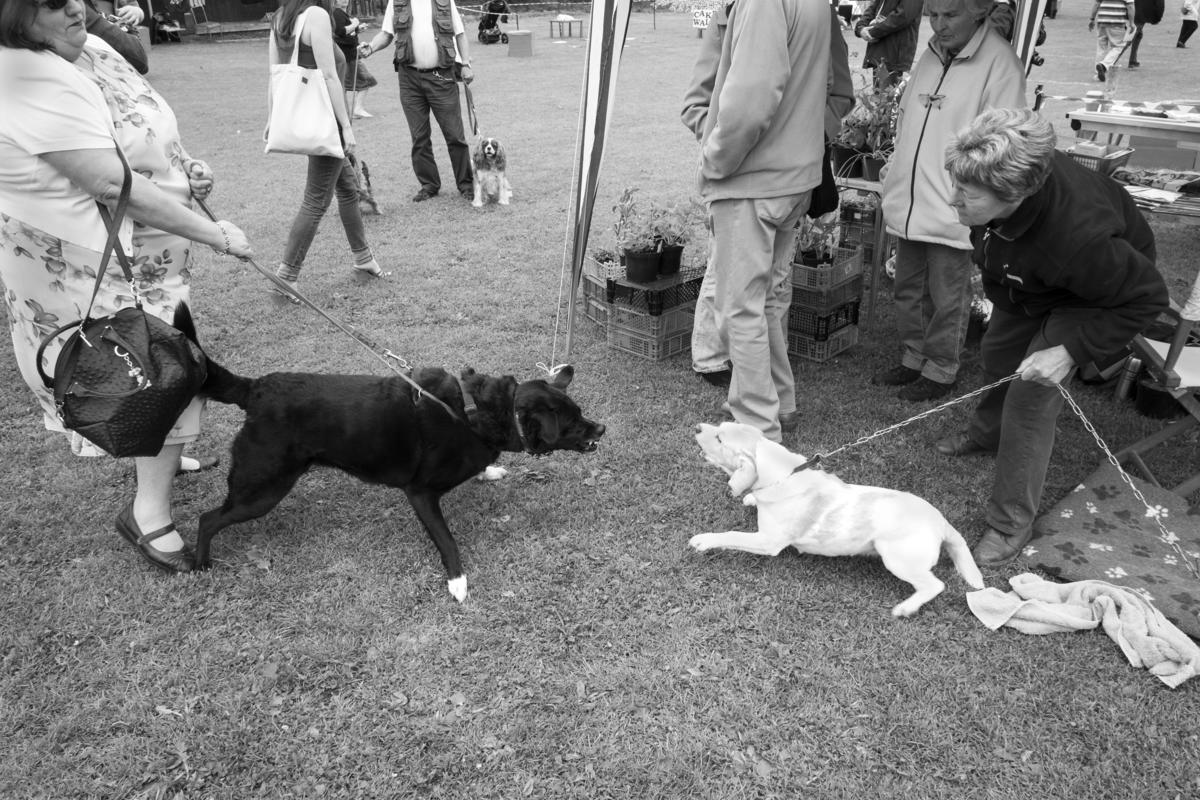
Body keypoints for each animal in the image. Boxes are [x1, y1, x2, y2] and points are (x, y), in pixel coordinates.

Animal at [178, 309, 604, 599]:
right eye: (572, 421)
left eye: (580, 412)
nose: (600, 429)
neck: (475, 413)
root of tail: (255, 389)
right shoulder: (421, 493)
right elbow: (447, 540)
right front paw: (457, 581)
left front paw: (490, 471)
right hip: (263, 488)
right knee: (207, 519)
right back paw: (201, 564)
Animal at [686, 422, 984, 618]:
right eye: (720, 426)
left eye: (720, 439)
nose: (698, 427)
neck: (782, 474)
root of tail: (941, 522)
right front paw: (750, 498)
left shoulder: (768, 541)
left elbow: (731, 535)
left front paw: (704, 540)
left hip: (896, 558)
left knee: (935, 585)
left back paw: (905, 608)